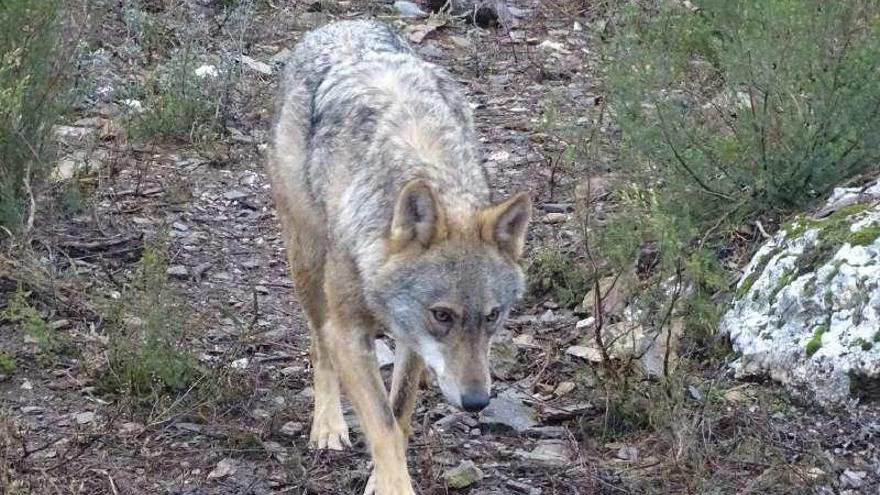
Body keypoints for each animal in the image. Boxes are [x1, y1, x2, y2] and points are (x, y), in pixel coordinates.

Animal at [268, 20, 528, 495]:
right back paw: (328, 426)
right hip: (307, 265)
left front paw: (381, 476)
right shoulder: (350, 332)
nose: (477, 402)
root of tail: (341, 23)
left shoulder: (411, 337)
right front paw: (392, 482)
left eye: (492, 316)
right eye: (442, 315)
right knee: (318, 344)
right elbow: (382, 423)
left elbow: (400, 411)